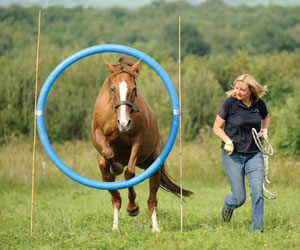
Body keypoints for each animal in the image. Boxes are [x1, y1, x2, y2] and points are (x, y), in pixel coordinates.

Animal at [90, 56, 192, 232]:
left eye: (134, 88)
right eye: (112, 89)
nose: (124, 123)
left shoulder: (138, 140)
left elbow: (130, 174)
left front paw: (132, 208)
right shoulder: (99, 134)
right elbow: (108, 152)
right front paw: (116, 167)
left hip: (152, 166)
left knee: (152, 200)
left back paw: (155, 227)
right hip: (104, 170)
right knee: (115, 196)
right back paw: (115, 227)